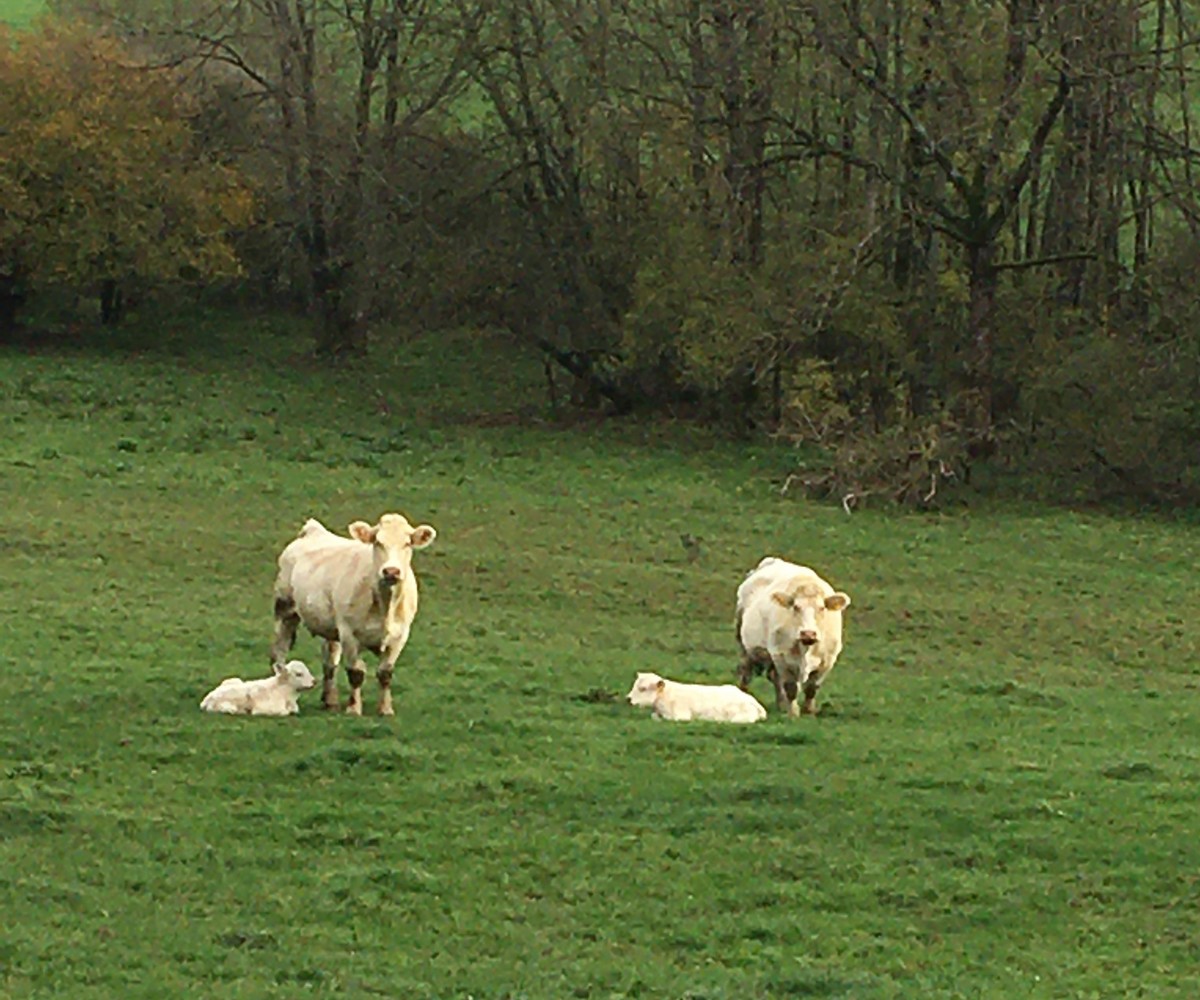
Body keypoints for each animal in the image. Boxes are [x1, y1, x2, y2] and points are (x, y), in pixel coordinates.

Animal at [270, 513, 437, 716]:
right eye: (377, 542)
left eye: (407, 543)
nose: (391, 571)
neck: (385, 606)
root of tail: (314, 530)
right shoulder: (348, 632)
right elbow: (356, 673)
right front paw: (354, 708)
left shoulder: (400, 635)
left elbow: (385, 673)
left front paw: (385, 709)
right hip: (284, 609)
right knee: (279, 652)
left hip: (329, 626)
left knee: (330, 662)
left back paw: (331, 701)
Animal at [735, 557, 851, 717]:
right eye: (796, 607)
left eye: (822, 608)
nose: (808, 633)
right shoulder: (782, 657)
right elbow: (791, 687)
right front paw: (794, 713)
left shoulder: (828, 659)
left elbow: (812, 687)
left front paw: (808, 711)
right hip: (746, 647)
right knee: (746, 672)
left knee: (774, 677)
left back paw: (781, 705)